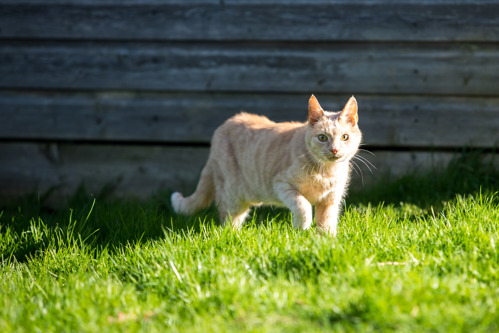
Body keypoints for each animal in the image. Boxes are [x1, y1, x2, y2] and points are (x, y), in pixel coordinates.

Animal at [172, 93, 364, 233]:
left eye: (344, 137)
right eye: (322, 138)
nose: (334, 150)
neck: (326, 171)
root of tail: (221, 128)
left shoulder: (330, 200)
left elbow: (327, 224)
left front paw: (325, 241)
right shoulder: (281, 184)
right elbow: (303, 206)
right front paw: (302, 227)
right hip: (232, 195)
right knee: (228, 218)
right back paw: (233, 236)